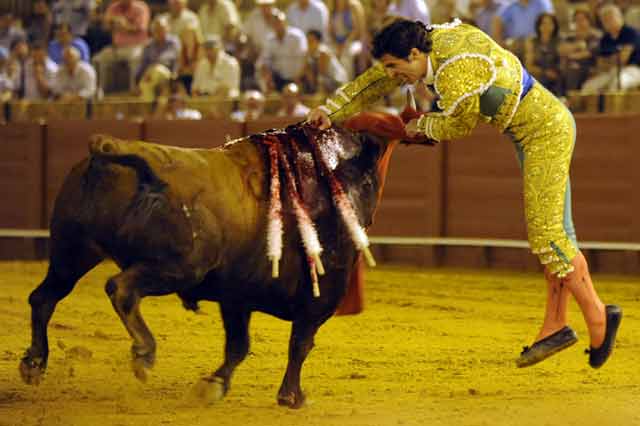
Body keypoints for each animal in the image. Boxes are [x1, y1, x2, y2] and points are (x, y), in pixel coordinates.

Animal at [20, 109, 430, 406]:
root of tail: (118, 151)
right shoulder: (317, 300)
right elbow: (298, 344)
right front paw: (291, 397)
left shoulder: (237, 296)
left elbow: (238, 345)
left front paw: (213, 384)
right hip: (178, 267)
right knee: (120, 289)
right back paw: (144, 353)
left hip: (73, 251)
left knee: (43, 298)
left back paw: (34, 363)